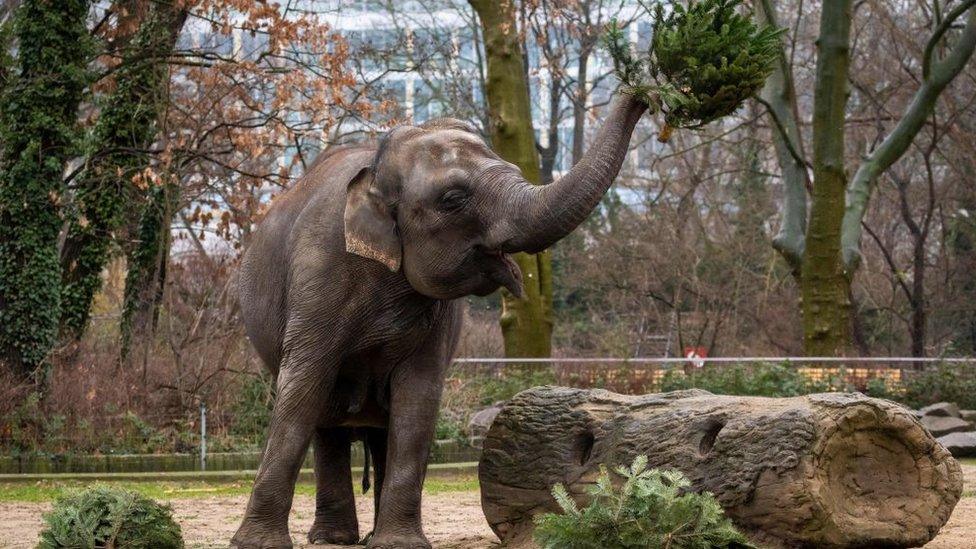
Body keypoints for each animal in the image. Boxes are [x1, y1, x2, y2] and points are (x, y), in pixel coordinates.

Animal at [231, 92, 648, 544]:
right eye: (452, 199)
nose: (641, 94)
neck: (376, 168)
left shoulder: (438, 317)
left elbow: (418, 399)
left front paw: (400, 545)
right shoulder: (318, 274)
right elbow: (301, 392)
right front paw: (254, 544)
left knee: (379, 426)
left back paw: (362, 537)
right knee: (327, 421)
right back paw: (333, 539)